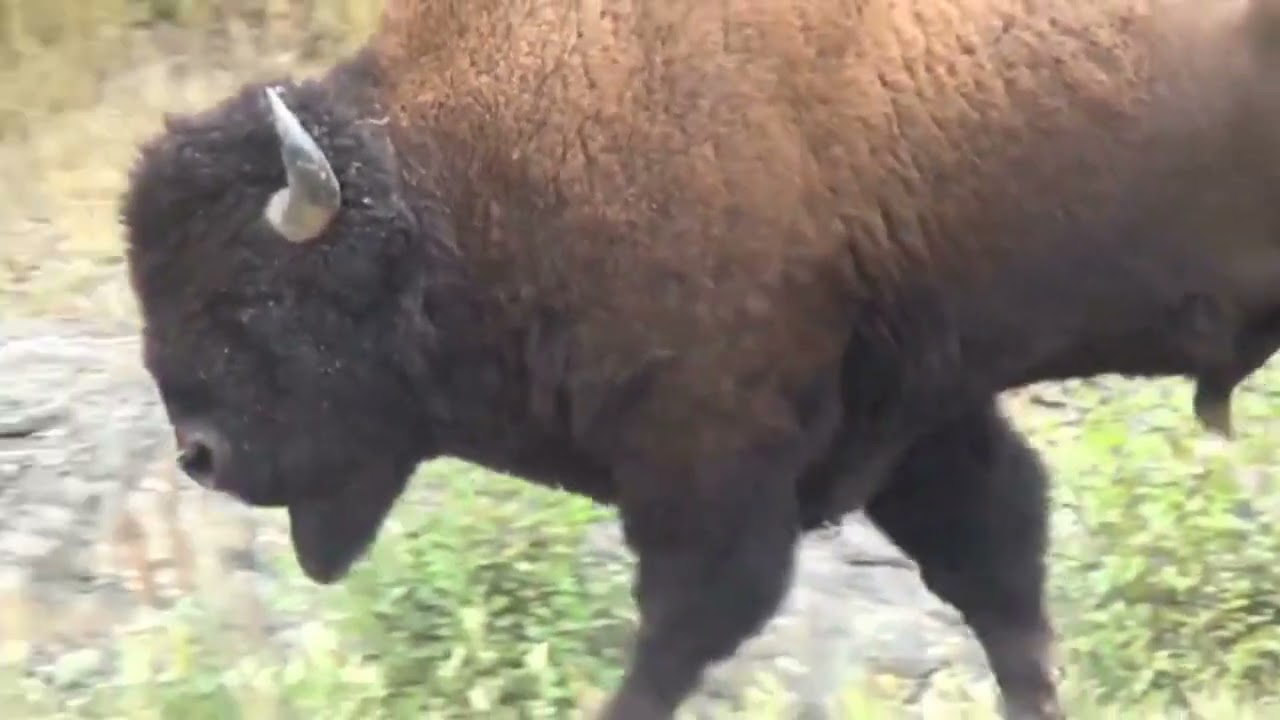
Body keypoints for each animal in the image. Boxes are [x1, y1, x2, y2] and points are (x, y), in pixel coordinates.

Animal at [118, 1, 1280, 718]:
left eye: (257, 294)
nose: (201, 457)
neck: (458, 177)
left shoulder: (710, 453)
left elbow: (686, 626)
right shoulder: (911, 413)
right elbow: (997, 574)